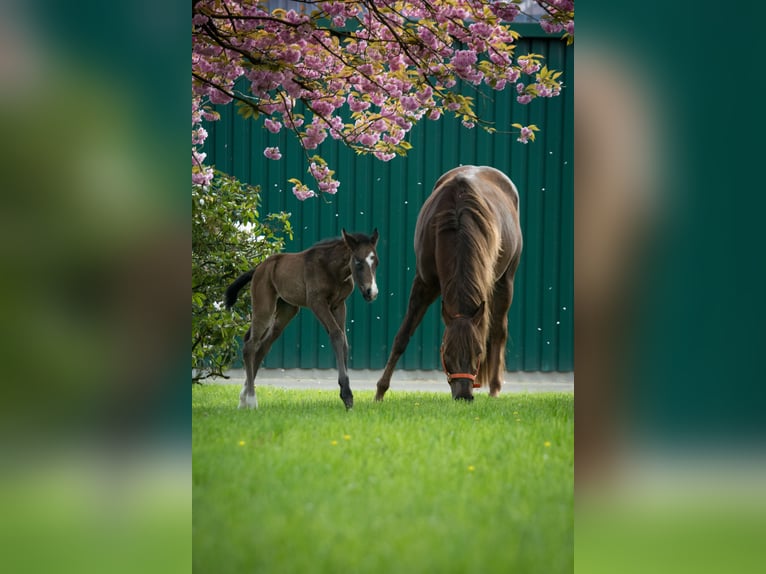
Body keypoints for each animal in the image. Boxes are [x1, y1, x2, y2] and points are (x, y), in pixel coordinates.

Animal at [226, 230, 382, 410]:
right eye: (357, 261)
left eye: (376, 262)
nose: (371, 292)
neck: (332, 269)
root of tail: (259, 267)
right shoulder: (317, 303)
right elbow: (336, 335)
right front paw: (347, 395)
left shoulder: (339, 305)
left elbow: (344, 341)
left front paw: (347, 394)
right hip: (264, 307)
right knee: (250, 346)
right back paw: (251, 400)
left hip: (287, 310)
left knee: (263, 346)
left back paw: (243, 399)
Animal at [376, 165, 520, 400]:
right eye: (447, 351)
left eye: (478, 351)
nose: (464, 396)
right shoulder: (424, 284)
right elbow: (402, 336)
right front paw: (379, 392)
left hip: (505, 282)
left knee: (499, 331)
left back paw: (494, 391)